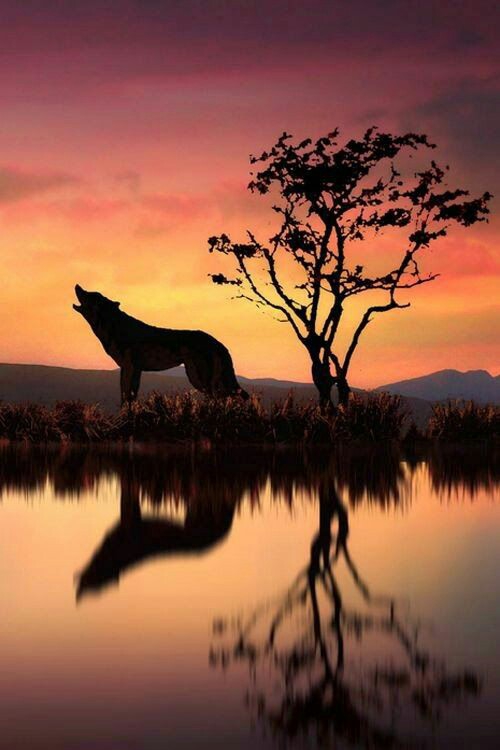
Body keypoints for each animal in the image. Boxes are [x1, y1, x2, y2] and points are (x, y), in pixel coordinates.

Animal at [73, 284, 249, 404]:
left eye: (89, 294)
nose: (77, 285)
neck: (114, 326)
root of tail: (218, 342)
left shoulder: (130, 368)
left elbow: (127, 397)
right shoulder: (132, 369)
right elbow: (129, 398)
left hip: (199, 380)